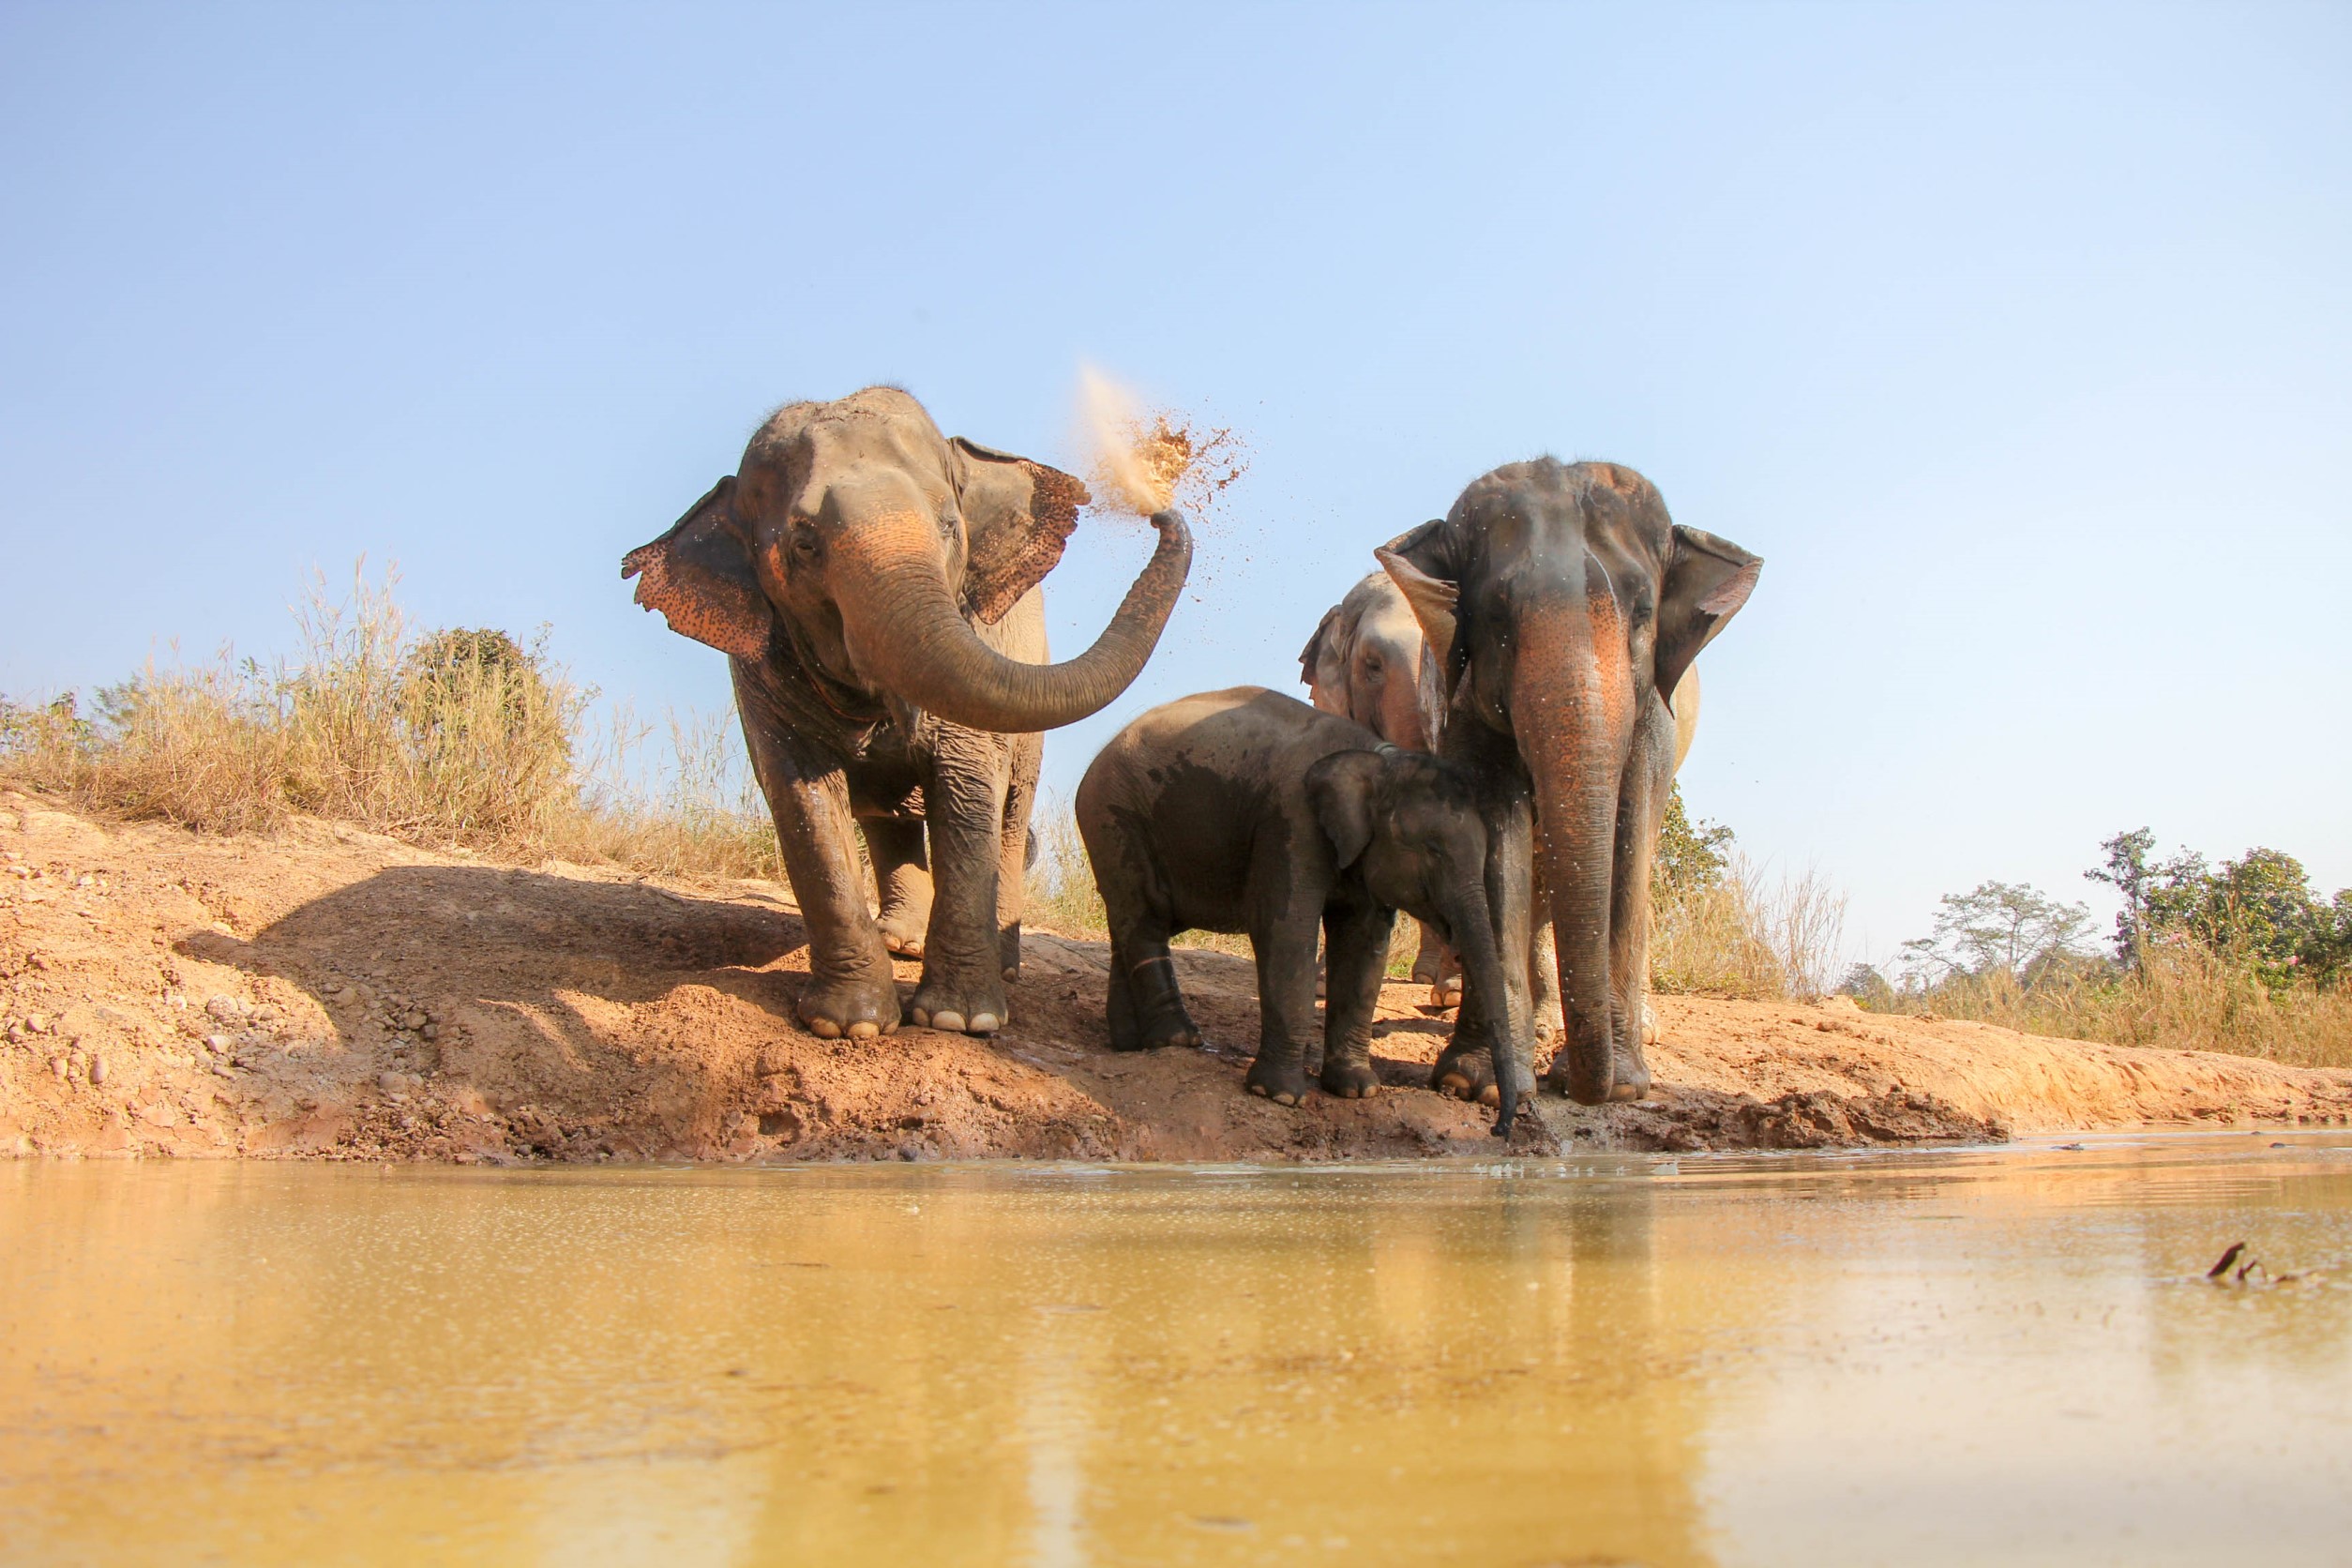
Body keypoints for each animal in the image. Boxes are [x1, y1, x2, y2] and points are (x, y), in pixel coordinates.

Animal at [621, 385, 1195, 1043]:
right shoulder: (759, 670)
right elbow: (800, 796)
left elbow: (970, 783)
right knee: (884, 818)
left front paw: (959, 1021)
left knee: (1009, 814)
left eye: (949, 526)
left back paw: (1002, 966)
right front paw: (851, 1026)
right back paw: (901, 943)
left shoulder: (981, 630)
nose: (1159, 510)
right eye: (803, 545)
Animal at [1072, 686, 1515, 1114]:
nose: (1494, 1114)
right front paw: (1279, 1096)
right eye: (1432, 849)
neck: (1377, 760)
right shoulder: (1290, 823)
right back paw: (1177, 1039)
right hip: (1113, 818)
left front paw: (1357, 1091)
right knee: (1145, 916)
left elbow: (1364, 945)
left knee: (1133, 921)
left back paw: (1132, 1042)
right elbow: (1287, 929)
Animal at [1373, 460, 1758, 1109]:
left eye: (1642, 611)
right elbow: (1495, 829)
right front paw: (1474, 1084)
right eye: (1496, 614)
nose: (1581, 1087)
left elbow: (1630, 830)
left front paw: (1624, 1087)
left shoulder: (1655, 714)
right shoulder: (1458, 703)